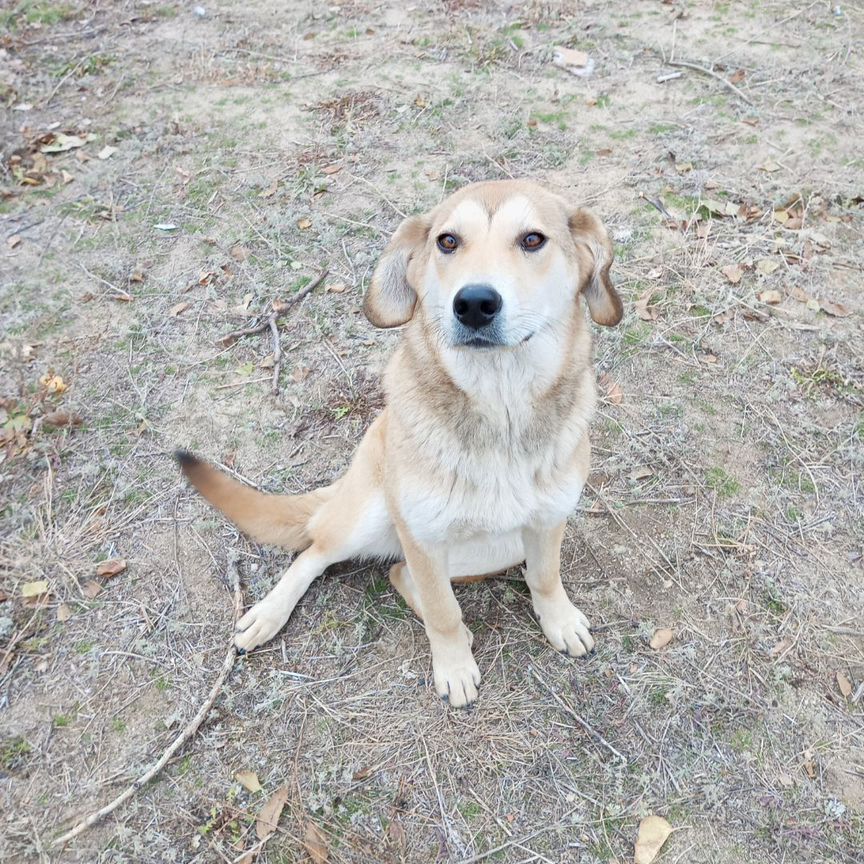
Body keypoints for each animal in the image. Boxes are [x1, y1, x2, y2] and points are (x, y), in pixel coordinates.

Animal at [177, 177, 620, 708]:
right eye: (447, 241)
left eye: (533, 239)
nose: (473, 303)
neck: (501, 408)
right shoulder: (424, 537)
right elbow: (444, 611)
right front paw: (453, 666)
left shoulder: (548, 520)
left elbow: (545, 577)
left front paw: (559, 620)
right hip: (368, 517)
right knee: (317, 553)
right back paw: (268, 614)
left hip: (493, 549)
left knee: (398, 574)